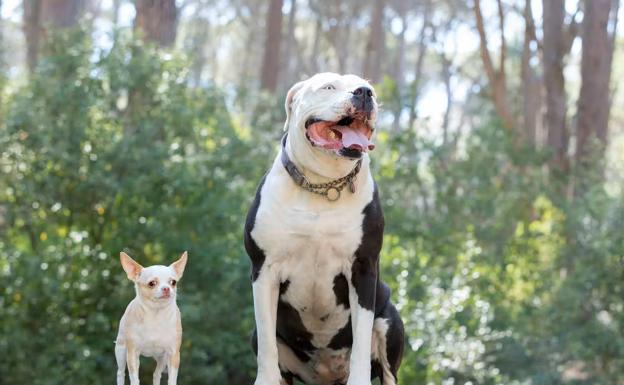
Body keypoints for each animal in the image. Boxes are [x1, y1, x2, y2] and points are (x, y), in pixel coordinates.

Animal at [115, 250, 188, 384]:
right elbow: (134, 379)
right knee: (121, 373)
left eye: (173, 282)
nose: (166, 288)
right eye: (152, 283)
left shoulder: (173, 354)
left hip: (162, 358)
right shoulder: (132, 354)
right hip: (121, 350)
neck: (156, 314)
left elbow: (172, 379)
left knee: (156, 374)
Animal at [244, 73, 404, 384]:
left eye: (370, 88)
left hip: (390, 322)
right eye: (328, 87)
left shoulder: (362, 269)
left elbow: (362, 338)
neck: (323, 184)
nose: (364, 93)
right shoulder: (264, 269)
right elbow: (268, 342)